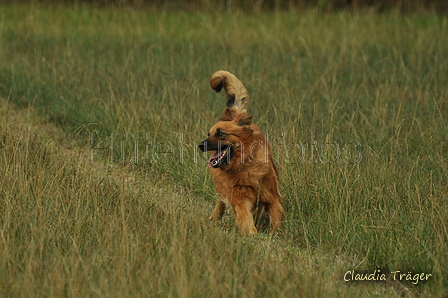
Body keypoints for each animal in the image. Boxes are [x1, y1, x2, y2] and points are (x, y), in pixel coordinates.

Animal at [199, 70, 284, 235]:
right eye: (209, 134)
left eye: (220, 134)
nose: (200, 145)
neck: (245, 165)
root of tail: (237, 114)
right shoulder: (240, 199)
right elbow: (246, 220)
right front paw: (252, 235)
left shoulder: (272, 198)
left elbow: (276, 221)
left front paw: (276, 234)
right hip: (222, 187)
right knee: (221, 200)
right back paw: (214, 217)